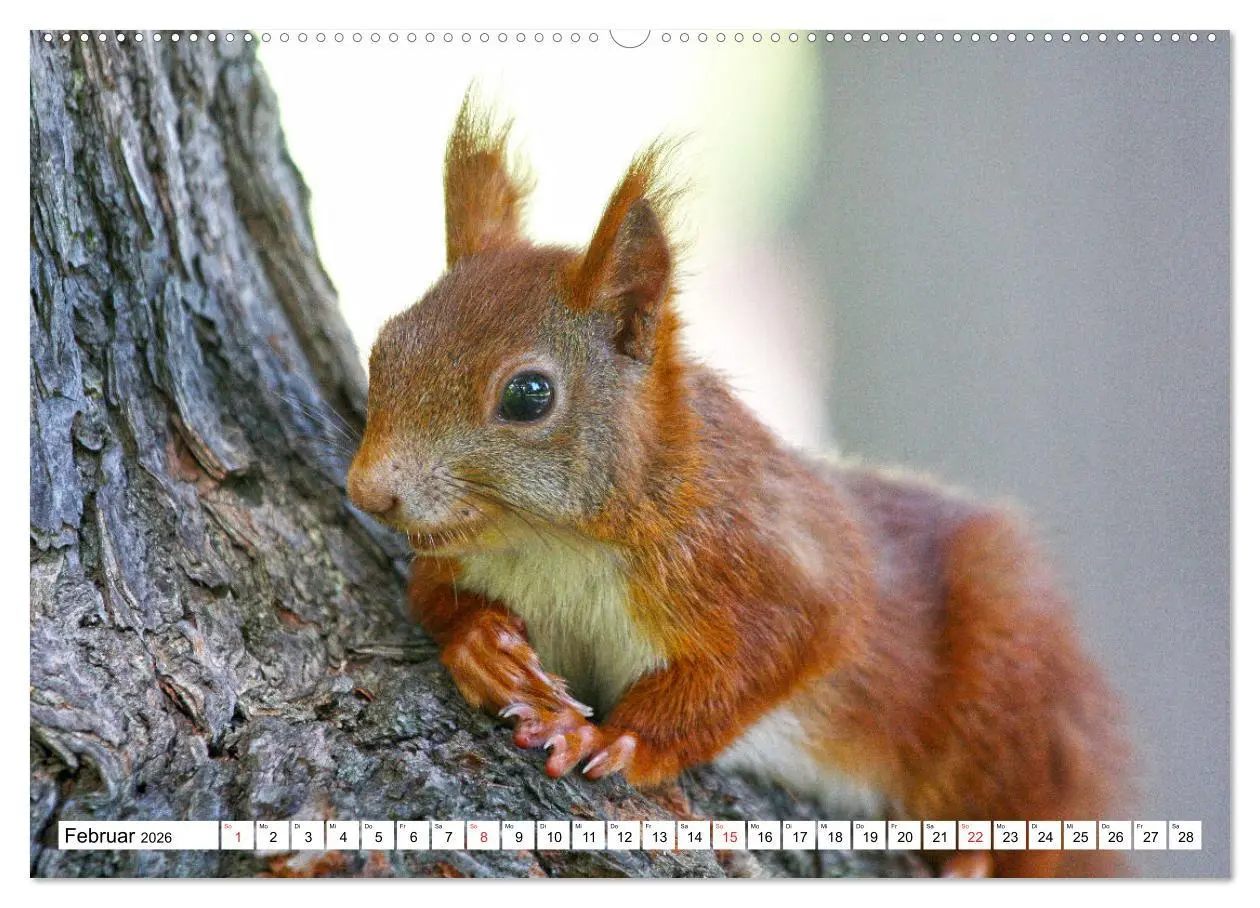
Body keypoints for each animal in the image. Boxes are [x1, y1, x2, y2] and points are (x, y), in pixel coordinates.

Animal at [346, 93, 1131, 878]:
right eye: (384, 346)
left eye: (528, 395)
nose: (367, 492)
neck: (556, 545)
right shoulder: (462, 553)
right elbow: (429, 597)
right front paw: (483, 645)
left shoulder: (767, 560)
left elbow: (764, 658)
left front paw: (619, 738)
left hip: (1009, 680)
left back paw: (983, 856)